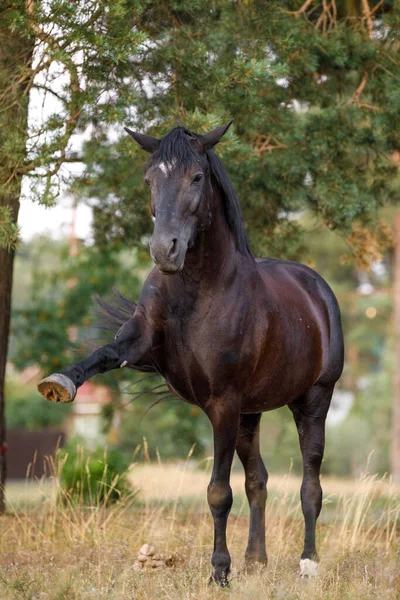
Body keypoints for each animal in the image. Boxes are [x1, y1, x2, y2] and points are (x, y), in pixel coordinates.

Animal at [38, 122, 344, 584]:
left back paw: (308, 564)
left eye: (197, 177)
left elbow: (219, 492)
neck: (197, 288)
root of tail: (318, 291)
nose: (165, 250)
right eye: (149, 179)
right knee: (258, 480)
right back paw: (257, 559)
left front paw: (219, 571)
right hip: (251, 414)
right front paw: (59, 383)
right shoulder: (142, 344)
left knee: (311, 485)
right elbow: (103, 354)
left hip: (312, 401)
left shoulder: (223, 403)